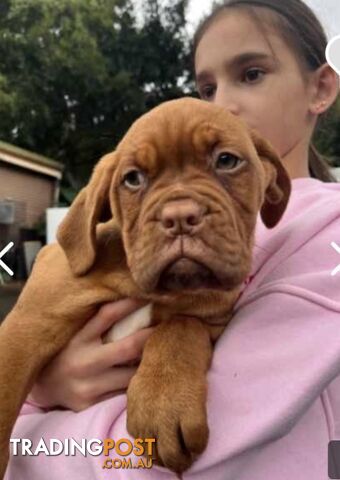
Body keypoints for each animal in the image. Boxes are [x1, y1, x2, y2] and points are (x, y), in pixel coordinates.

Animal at [0, 96, 292, 476]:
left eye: (226, 160)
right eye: (133, 179)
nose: (179, 217)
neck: (144, 286)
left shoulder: (213, 317)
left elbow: (181, 326)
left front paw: (165, 401)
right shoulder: (29, 325)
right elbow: (5, 394)